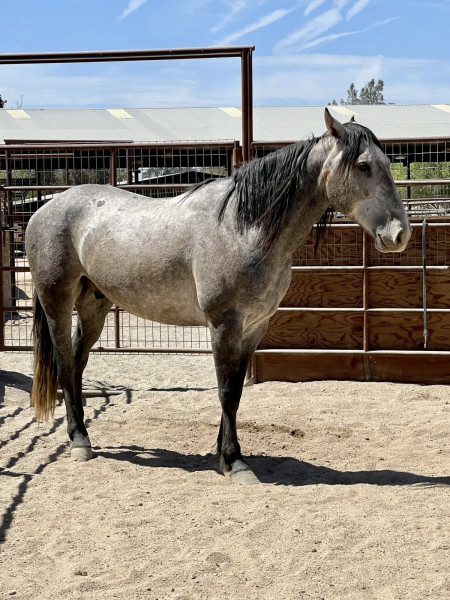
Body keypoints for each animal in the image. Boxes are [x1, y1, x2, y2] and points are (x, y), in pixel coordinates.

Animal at [25, 110, 412, 486]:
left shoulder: (254, 328)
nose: (399, 234)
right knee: (65, 364)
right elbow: (225, 391)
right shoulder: (224, 324)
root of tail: (45, 209)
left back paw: (82, 435)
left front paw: (222, 456)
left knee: (77, 364)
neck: (243, 228)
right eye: (363, 165)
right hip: (57, 302)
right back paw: (79, 443)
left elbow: (236, 392)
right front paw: (235, 462)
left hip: (94, 305)